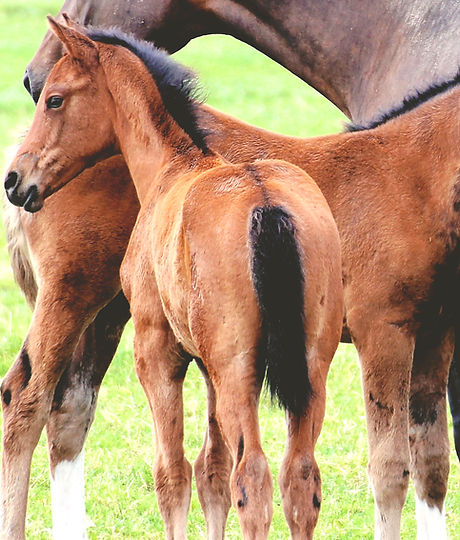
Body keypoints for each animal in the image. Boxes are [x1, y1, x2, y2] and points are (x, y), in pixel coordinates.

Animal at [2, 17, 342, 540]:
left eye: (54, 99)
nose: (15, 179)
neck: (172, 166)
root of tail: (265, 203)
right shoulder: (204, 365)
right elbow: (212, 470)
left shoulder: (156, 350)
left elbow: (173, 473)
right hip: (310, 370)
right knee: (299, 478)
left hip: (237, 370)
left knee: (254, 478)